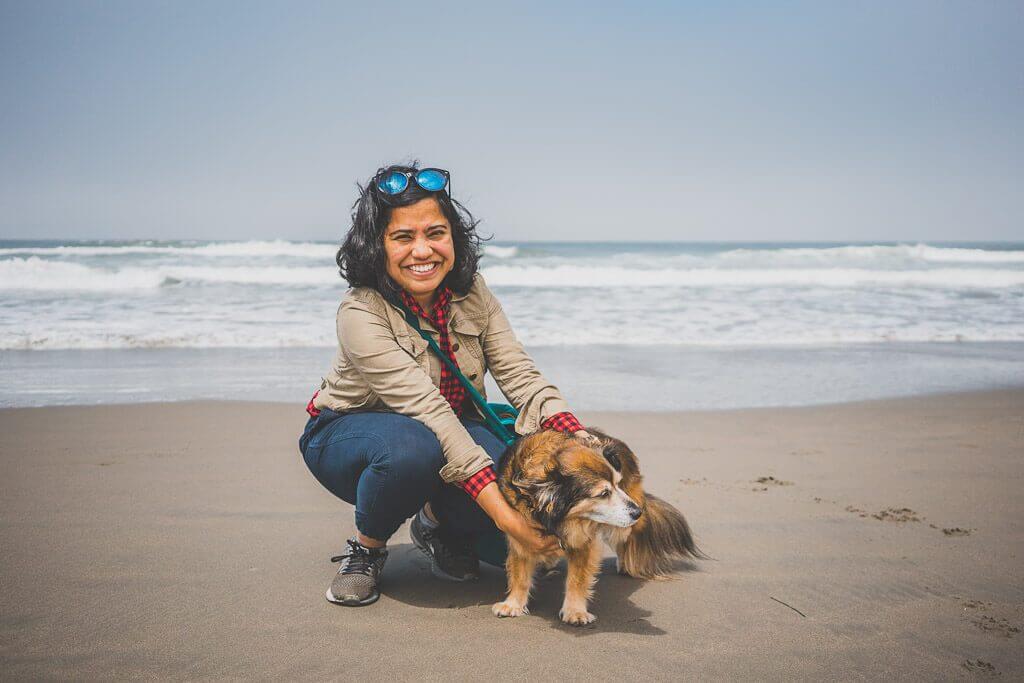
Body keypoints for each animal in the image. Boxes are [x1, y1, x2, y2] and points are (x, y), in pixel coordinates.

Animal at [489, 430, 704, 626]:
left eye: (618, 483)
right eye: (603, 493)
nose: (638, 512)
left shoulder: (584, 540)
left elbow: (577, 578)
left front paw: (575, 611)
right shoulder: (519, 533)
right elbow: (519, 573)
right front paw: (513, 603)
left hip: (622, 525)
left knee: (627, 539)